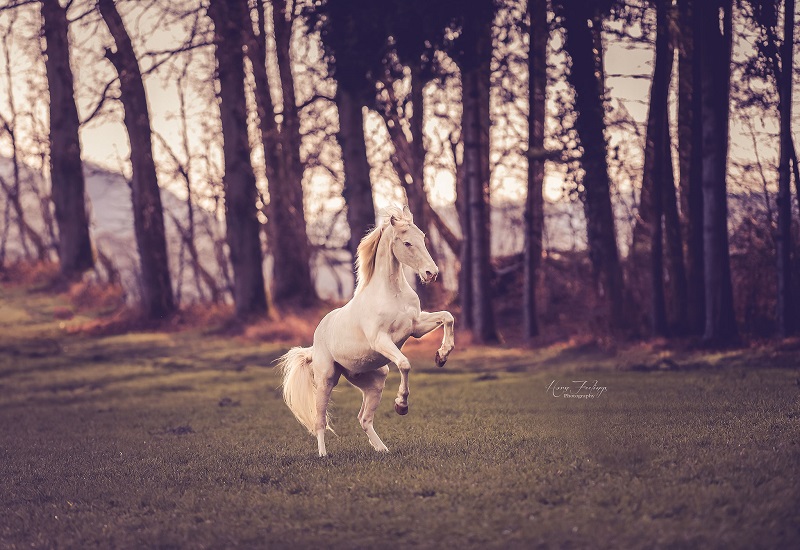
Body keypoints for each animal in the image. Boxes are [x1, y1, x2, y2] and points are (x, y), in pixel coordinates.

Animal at [277, 205, 455, 457]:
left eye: (422, 237)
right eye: (407, 243)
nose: (432, 273)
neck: (392, 294)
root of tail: (314, 345)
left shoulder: (416, 327)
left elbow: (448, 316)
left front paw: (442, 356)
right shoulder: (380, 339)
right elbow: (404, 363)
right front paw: (401, 405)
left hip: (374, 381)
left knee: (364, 418)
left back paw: (383, 450)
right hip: (326, 380)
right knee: (320, 420)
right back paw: (323, 455)